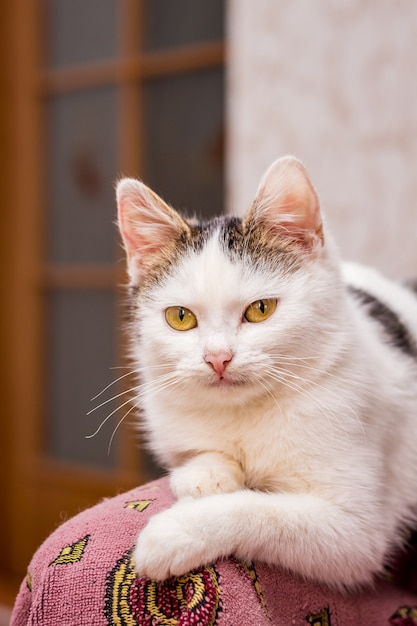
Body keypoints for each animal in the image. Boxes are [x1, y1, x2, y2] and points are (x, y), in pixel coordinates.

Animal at [114, 155, 416, 584]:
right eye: (180, 317)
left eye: (260, 309)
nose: (217, 358)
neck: (246, 415)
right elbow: (196, 455)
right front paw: (205, 474)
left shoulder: (356, 533)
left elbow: (259, 509)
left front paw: (176, 532)